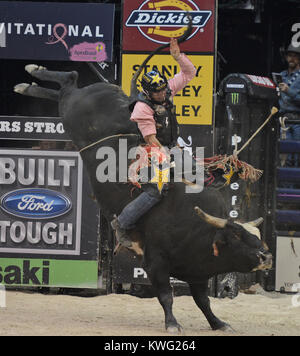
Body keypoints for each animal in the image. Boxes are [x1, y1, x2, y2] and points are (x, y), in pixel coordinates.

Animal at [13, 64, 272, 334]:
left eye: (257, 236)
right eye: (237, 236)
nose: (267, 257)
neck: (197, 226)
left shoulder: (198, 271)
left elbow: (203, 301)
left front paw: (218, 323)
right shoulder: (155, 263)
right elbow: (166, 296)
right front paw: (172, 324)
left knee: (65, 87)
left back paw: (28, 83)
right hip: (73, 109)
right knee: (68, 83)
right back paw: (32, 75)